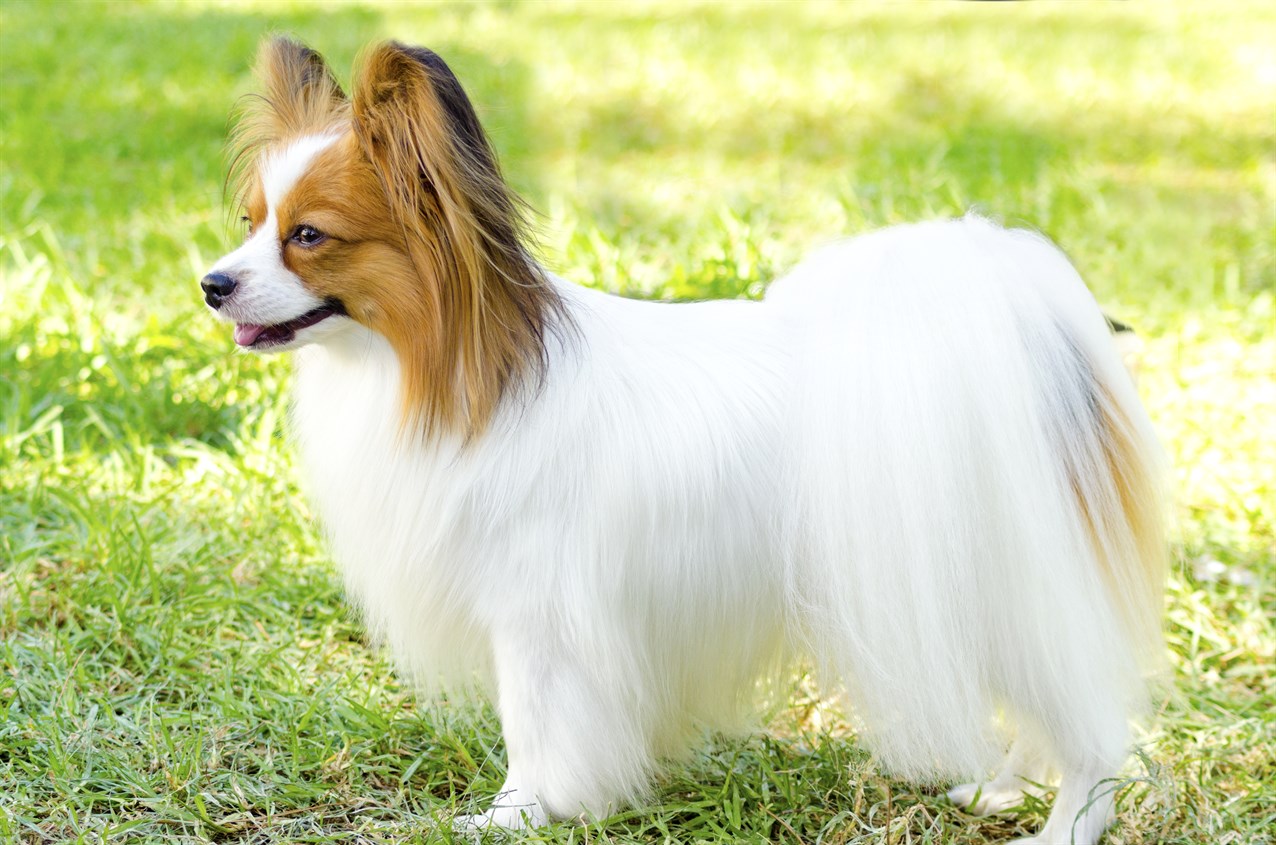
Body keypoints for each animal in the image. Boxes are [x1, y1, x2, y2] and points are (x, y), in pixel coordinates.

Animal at [201, 36, 1168, 842]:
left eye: (308, 236)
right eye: (249, 224)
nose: (212, 283)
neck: (453, 370)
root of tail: (1035, 334)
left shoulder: (539, 617)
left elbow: (533, 728)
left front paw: (514, 815)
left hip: (1004, 587)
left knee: (1093, 732)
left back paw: (1061, 826)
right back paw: (998, 790)